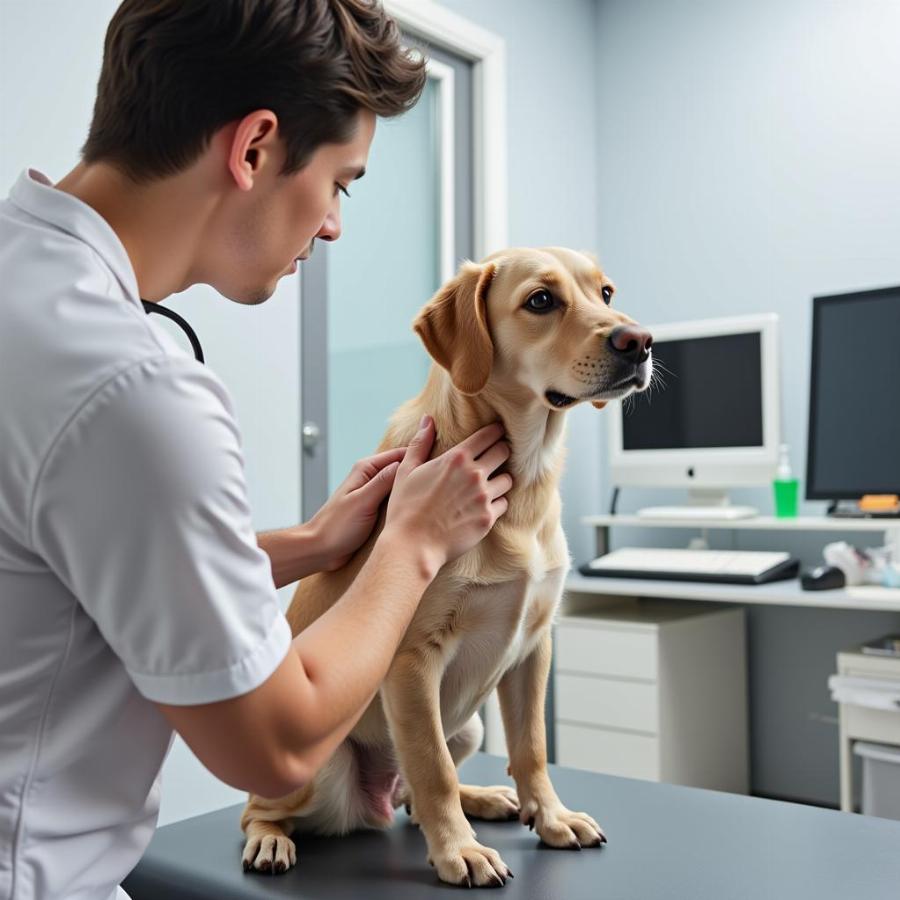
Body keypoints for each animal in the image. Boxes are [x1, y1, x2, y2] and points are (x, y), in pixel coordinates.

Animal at [239, 244, 652, 884]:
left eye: (605, 293)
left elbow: (530, 748)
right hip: (317, 765)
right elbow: (432, 767)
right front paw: (460, 851)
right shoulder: (411, 661)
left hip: (472, 724)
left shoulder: (535, 648)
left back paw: (481, 798)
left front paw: (551, 818)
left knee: (414, 793)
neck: (523, 477)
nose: (641, 341)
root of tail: (375, 801)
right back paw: (269, 840)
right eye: (541, 300)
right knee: (265, 809)